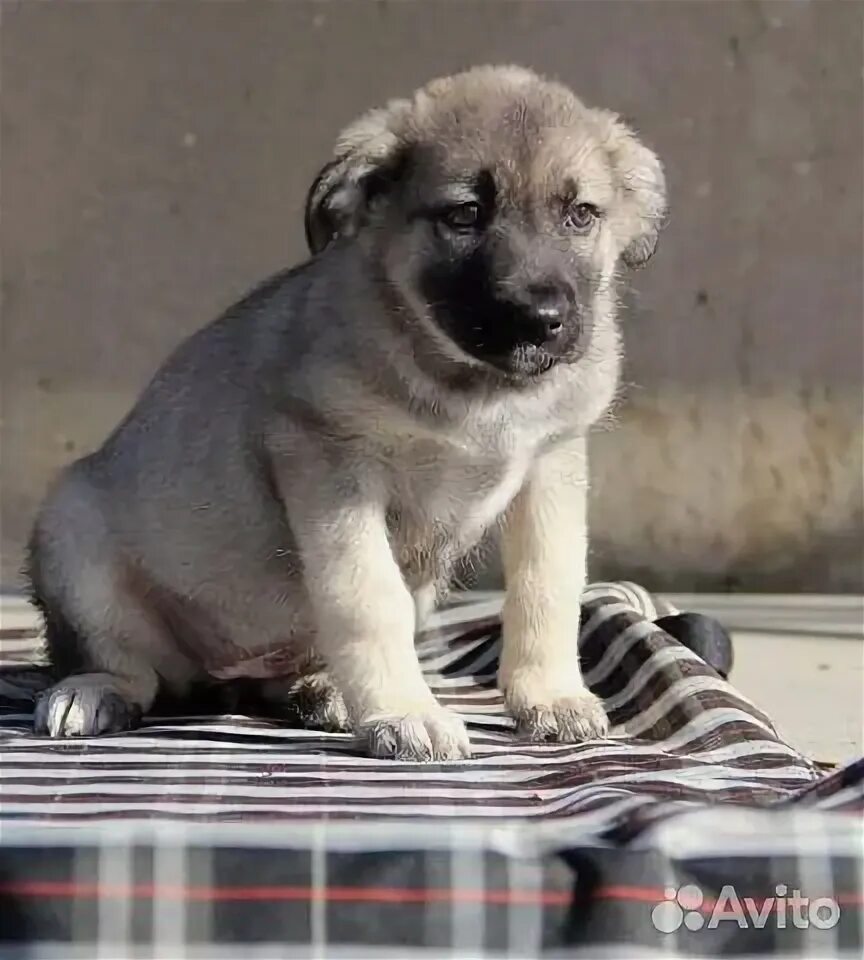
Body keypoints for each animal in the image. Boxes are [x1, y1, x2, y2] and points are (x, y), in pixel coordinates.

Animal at [25, 63, 660, 760]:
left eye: (581, 215)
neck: (476, 387)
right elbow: (367, 597)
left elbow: (546, 585)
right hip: (72, 528)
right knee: (122, 663)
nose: (542, 321)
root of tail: (223, 679)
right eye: (465, 214)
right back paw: (94, 691)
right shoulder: (330, 465)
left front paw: (549, 696)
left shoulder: (552, 465)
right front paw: (406, 712)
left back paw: (320, 690)